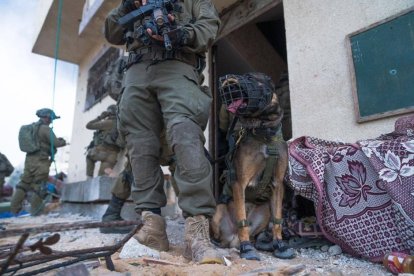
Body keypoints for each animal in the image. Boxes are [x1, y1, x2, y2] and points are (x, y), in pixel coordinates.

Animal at [210, 72, 294, 260]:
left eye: (250, 77)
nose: (229, 82)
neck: (264, 132)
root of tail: (232, 238)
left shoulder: (278, 184)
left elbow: (277, 221)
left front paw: (280, 245)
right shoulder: (239, 183)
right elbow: (242, 218)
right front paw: (246, 248)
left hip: (264, 211)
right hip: (218, 211)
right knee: (231, 232)